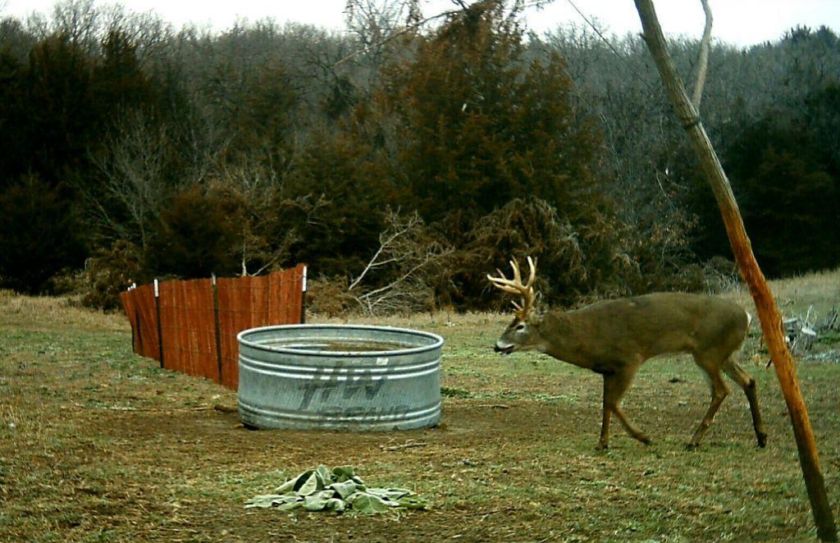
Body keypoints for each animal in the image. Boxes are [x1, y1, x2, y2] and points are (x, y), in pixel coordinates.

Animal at [486, 258, 768, 452]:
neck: (587, 338)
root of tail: (746, 316)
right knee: (748, 380)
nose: (498, 345)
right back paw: (761, 437)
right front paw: (602, 443)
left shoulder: (630, 359)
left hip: (708, 352)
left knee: (721, 390)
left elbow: (612, 402)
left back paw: (693, 440)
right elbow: (605, 403)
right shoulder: (607, 370)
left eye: (520, 326)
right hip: (724, 353)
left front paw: (643, 437)